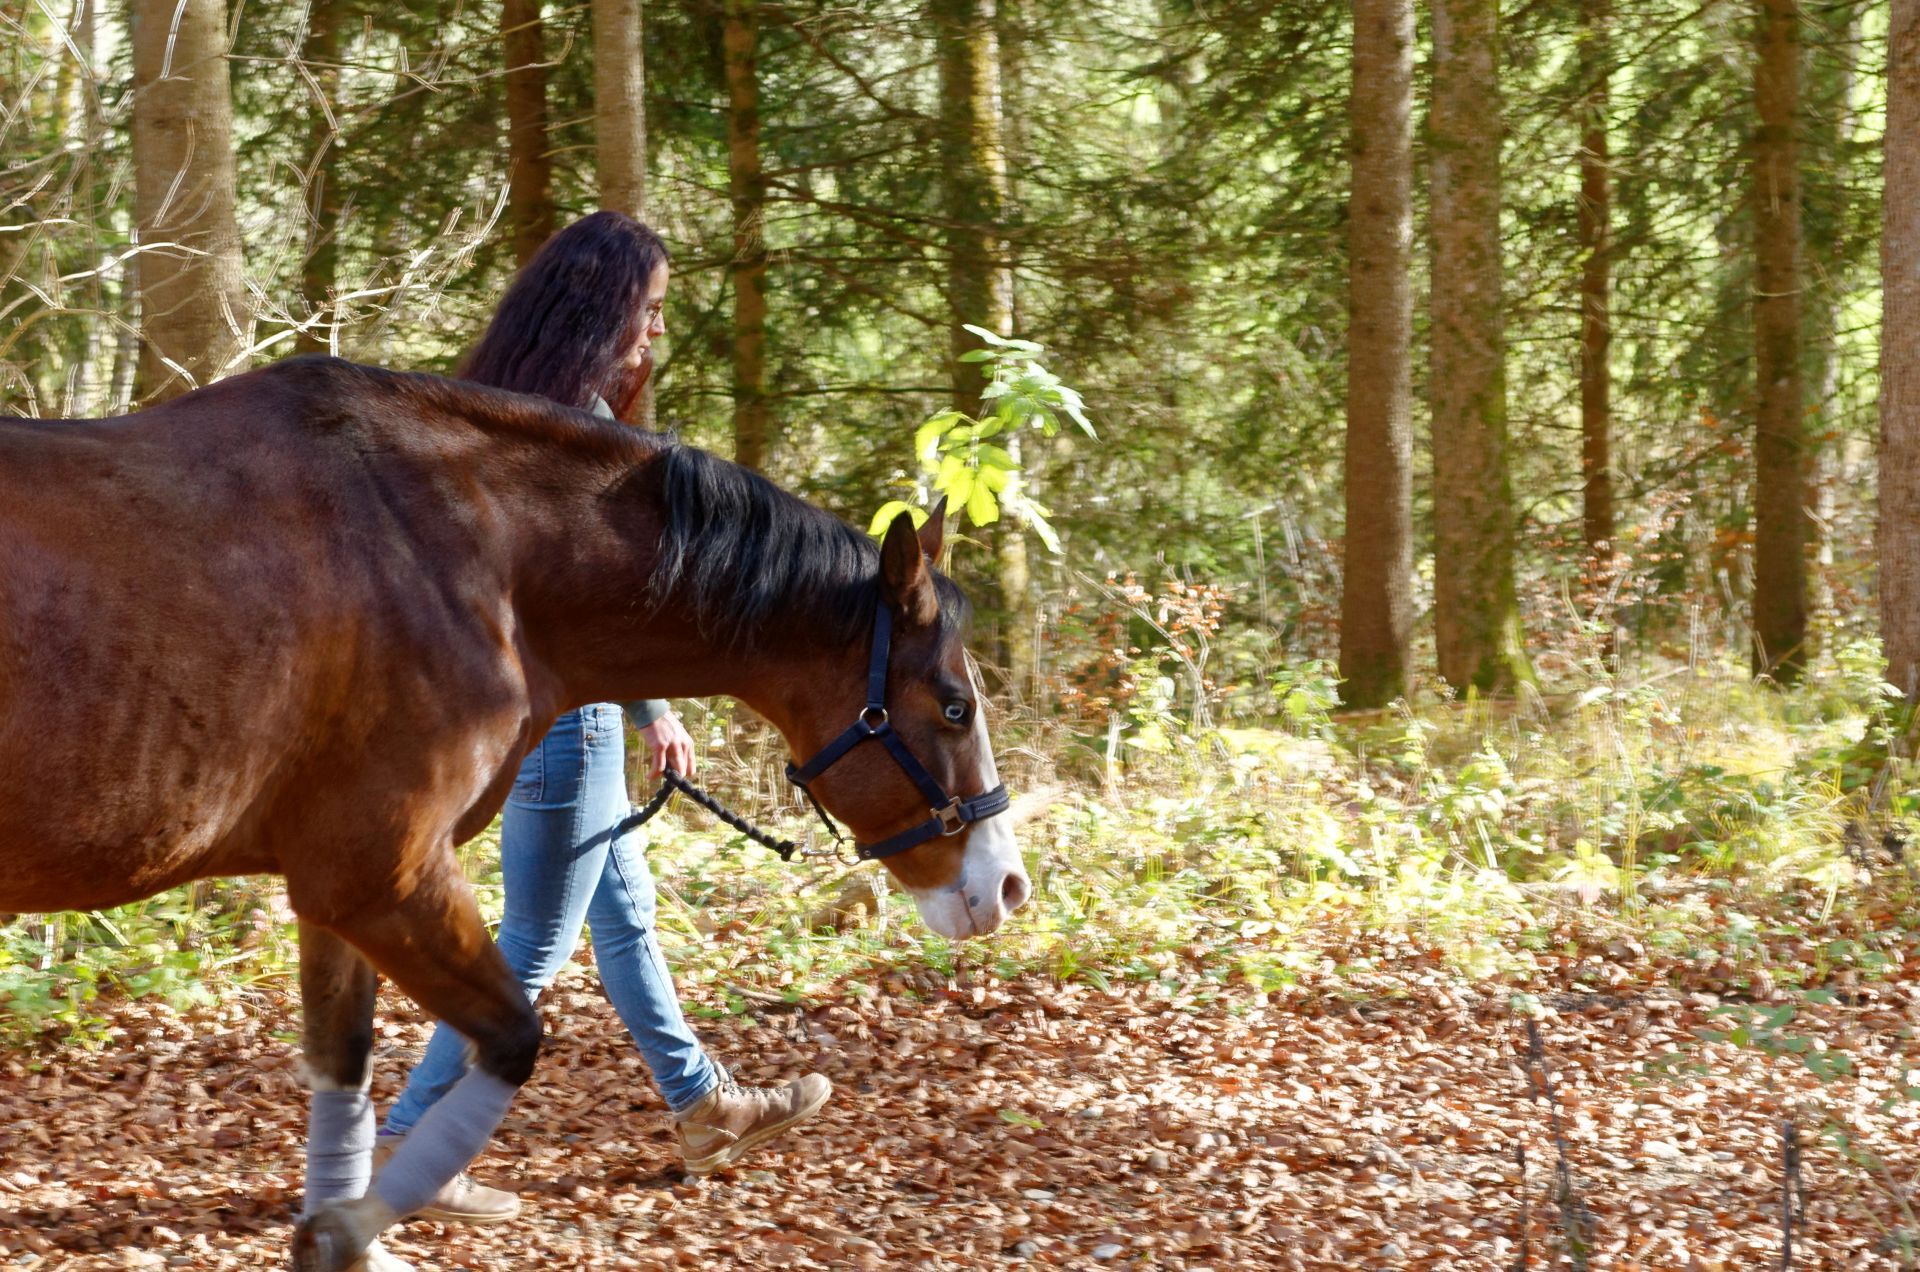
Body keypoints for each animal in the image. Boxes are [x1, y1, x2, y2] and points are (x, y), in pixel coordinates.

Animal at [0, 355, 1031, 1270]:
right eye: (954, 706)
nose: (1006, 885)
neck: (463, 554)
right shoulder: (382, 877)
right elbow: (512, 1037)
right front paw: (344, 1232)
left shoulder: (330, 896)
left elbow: (344, 1067)